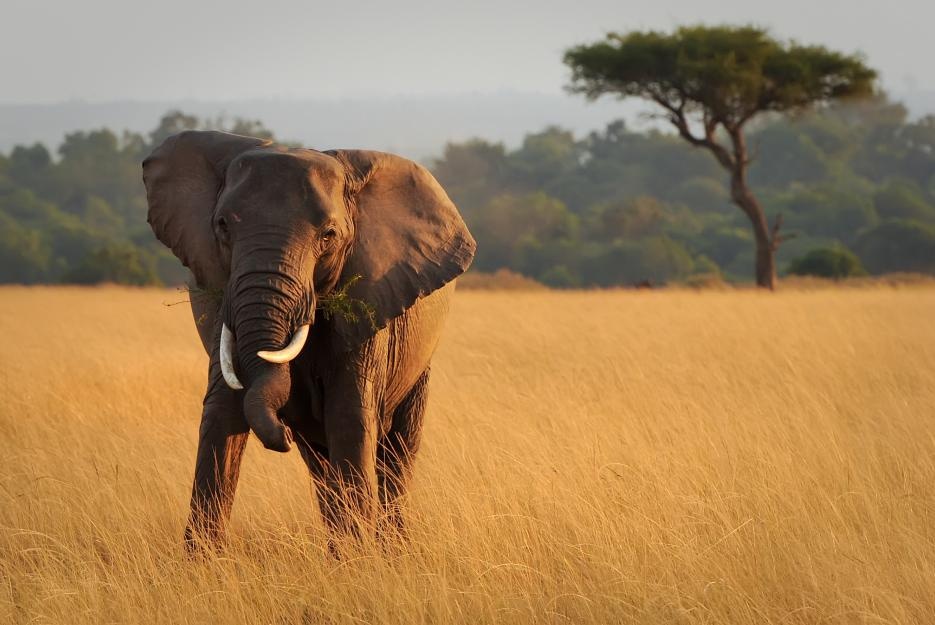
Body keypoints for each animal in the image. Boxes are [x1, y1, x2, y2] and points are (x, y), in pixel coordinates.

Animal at [141, 129, 476, 548]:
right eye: (222, 226)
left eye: (329, 236)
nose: (281, 434)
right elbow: (222, 415)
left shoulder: (370, 303)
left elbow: (349, 417)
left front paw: (360, 559)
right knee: (320, 463)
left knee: (397, 451)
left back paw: (390, 548)